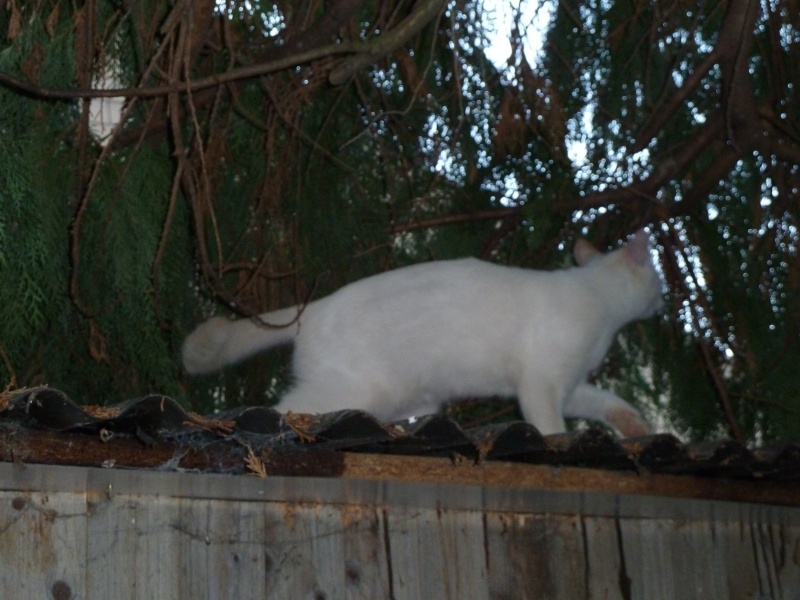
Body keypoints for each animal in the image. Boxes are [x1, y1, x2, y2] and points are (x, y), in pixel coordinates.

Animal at [183, 230, 664, 436]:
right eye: (659, 276)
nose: (666, 297)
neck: (598, 298)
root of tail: (313, 307)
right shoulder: (541, 385)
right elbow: (550, 429)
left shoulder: (573, 385)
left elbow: (610, 405)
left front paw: (638, 429)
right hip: (357, 390)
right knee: (284, 409)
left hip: (416, 399)